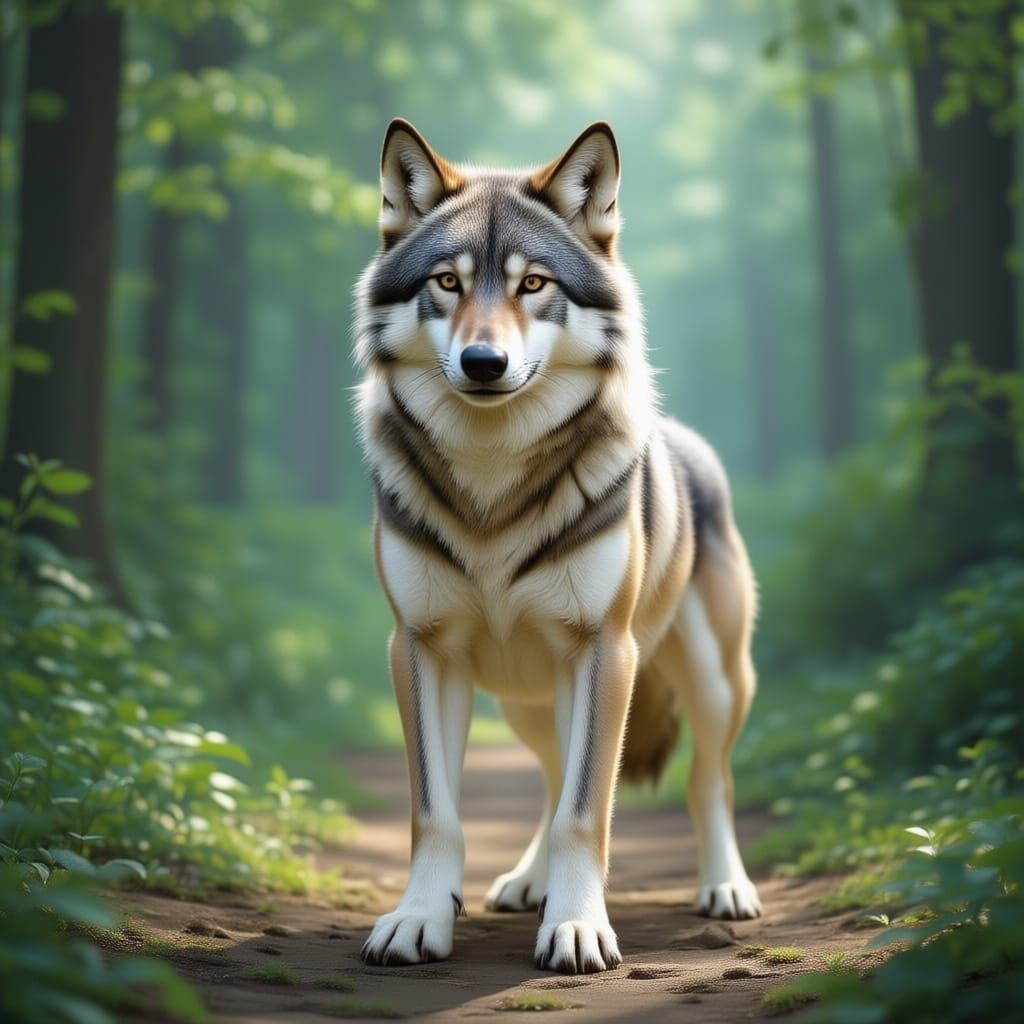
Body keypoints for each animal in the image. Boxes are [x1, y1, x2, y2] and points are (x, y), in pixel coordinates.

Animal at [354, 119, 762, 975]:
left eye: (533, 284)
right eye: (448, 282)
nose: (484, 363)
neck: (492, 484)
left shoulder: (603, 651)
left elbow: (587, 812)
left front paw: (577, 929)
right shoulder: (419, 649)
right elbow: (436, 814)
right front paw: (418, 920)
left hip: (711, 682)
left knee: (709, 781)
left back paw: (726, 888)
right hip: (524, 701)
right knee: (547, 779)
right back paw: (526, 882)